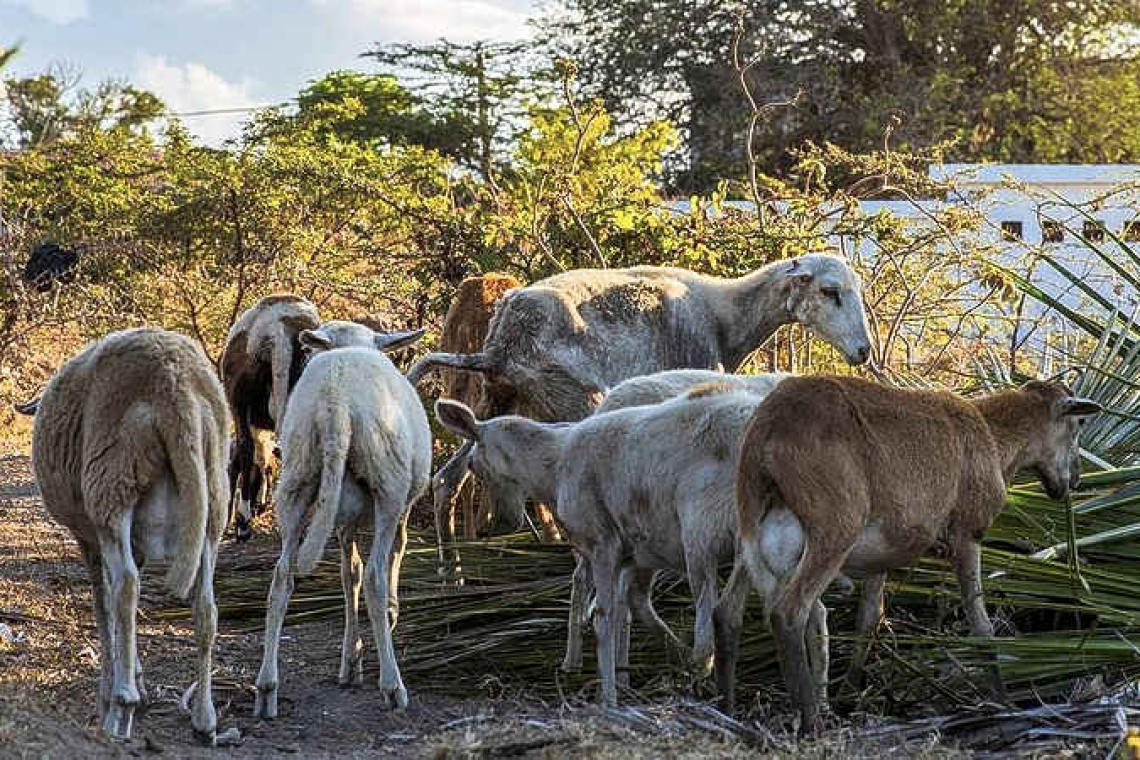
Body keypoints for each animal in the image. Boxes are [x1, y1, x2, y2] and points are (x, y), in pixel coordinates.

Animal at [20, 328, 230, 742]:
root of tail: (174, 387)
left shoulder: (87, 537)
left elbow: (102, 603)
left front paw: (112, 685)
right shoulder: (139, 542)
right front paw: (135, 674)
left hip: (112, 483)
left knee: (127, 586)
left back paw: (122, 707)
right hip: (211, 497)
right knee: (205, 606)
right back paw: (204, 718)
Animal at [253, 319, 428, 720]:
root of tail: (336, 404)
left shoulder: (341, 520)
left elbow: (350, 576)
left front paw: (351, 660)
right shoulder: (403, 506)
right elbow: (390, 557)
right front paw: (387, 620)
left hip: (297, 476)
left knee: (282, 576)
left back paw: (267, 688)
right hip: (388, 482)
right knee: (377, 574)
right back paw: (393, 686)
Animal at [410, 258, 870, 537]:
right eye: (830, 291)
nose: (863, 351)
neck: (724, 314)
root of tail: (501, 345)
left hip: (495, 402)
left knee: (445, 482)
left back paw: (452, 578)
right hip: (572, 397)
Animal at [715, 378, 1098, 733]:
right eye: (1078, 424)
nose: (1076, 480)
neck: (996, 438)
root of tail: (766, 428)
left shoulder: (881, 553)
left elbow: (869, 618)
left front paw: (848, 698)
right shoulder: (967, 532)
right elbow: (980, 623)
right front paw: (1001, 701)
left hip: (750, 528)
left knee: (726, 611)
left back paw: (726, 709)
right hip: (834, 526)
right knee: (789, 612)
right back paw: (810, 724)